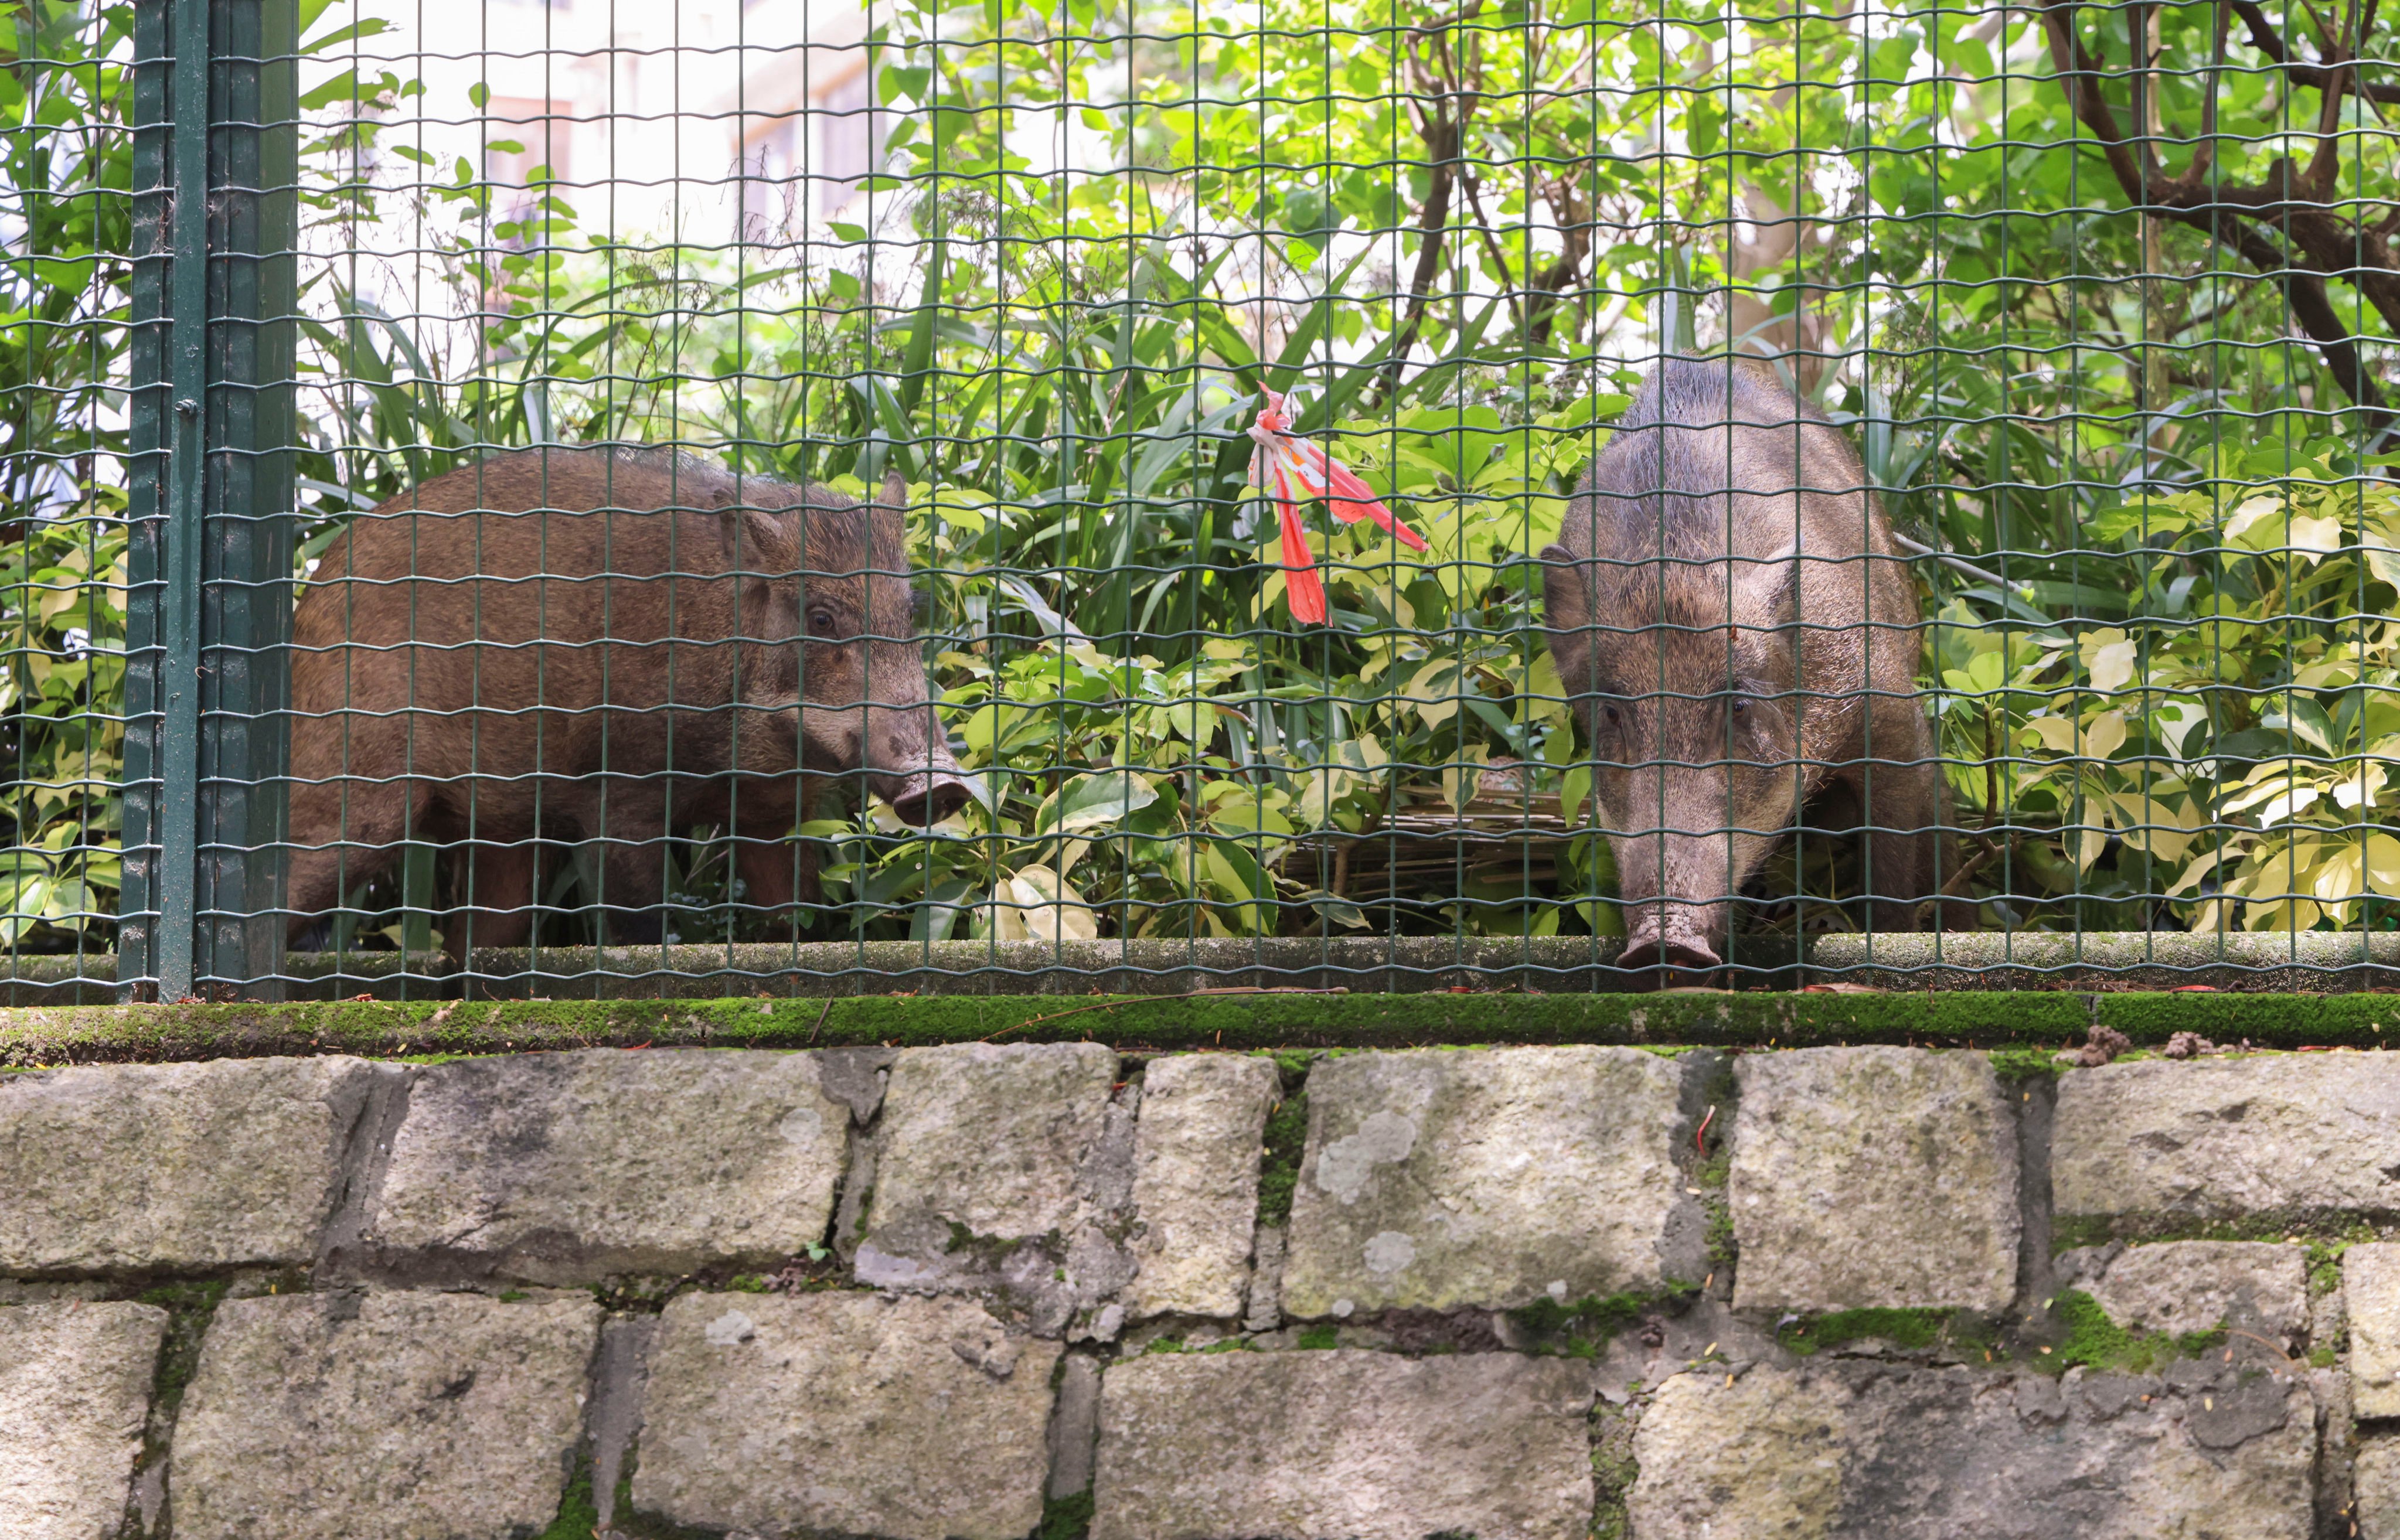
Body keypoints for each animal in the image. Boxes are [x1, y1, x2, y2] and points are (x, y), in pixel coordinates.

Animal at [283, 446, 970, 959]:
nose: (942, 785)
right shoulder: (618, 790)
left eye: (911, 612)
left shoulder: (773, 812)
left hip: (505, 833)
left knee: (473, 942)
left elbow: (792, 919)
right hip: (356, 791)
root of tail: (308, 600)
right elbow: (635, 925)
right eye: (822, 618)